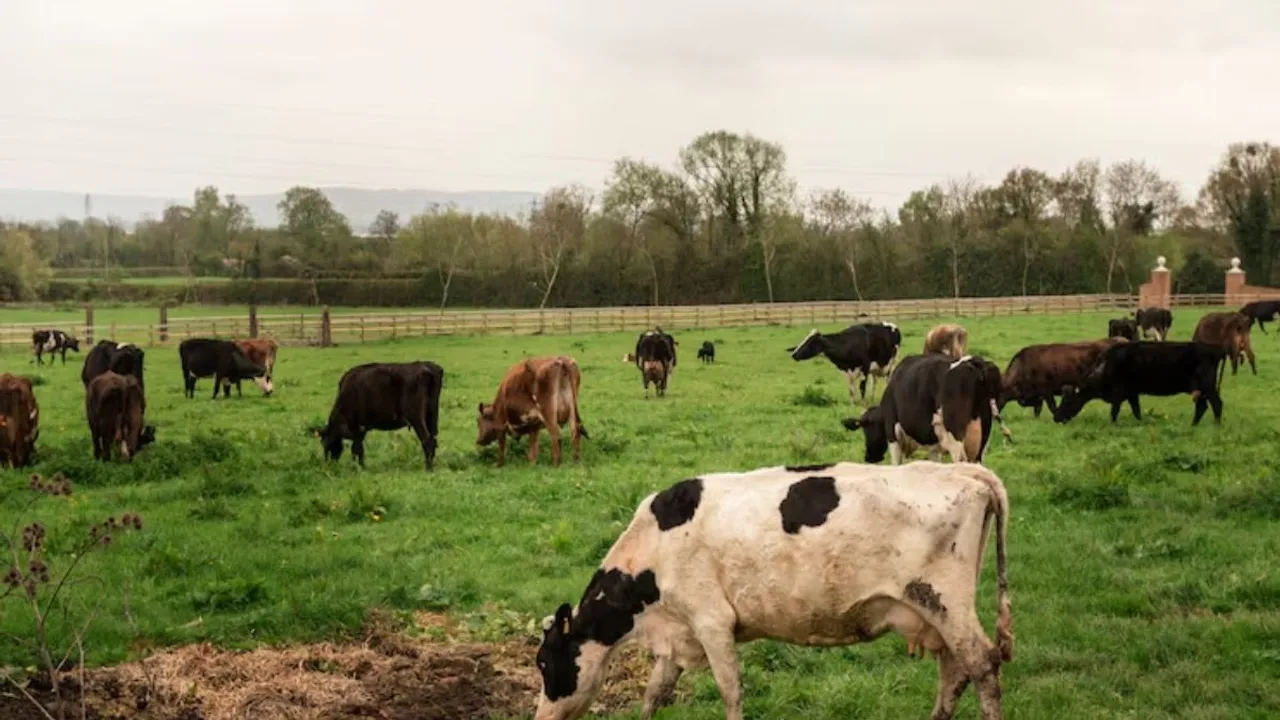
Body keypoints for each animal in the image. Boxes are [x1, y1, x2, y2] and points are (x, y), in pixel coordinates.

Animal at [532, 461, 1013, 720]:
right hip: (937, 615)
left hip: (945, 602)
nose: (540, 715)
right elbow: (654, 693)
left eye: (544, 663)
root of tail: (958, 470)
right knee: (954, 672)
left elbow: (730, 688)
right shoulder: (678, 634)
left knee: (982, 666)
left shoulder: (711, 621)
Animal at [841, 354, 1006, 465]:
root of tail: (974, 361)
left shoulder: (892, 435)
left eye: (866, 428)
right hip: (982, 442)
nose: (869, 457)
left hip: (956, 438)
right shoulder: (934, 447)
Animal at [1053, 341, 1227, 425]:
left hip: (1207, 386)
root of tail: (1216, 349)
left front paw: (1112, 426)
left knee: (1216, 404)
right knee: (1202, 406)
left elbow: (1114, 412)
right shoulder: (1132, 393)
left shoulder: (1118, 392)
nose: (1056, 417)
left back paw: (1216, 426)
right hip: (1199, 389)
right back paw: (1193, 425)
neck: (1106, 365)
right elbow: (1136, 411)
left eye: (1067, 401)